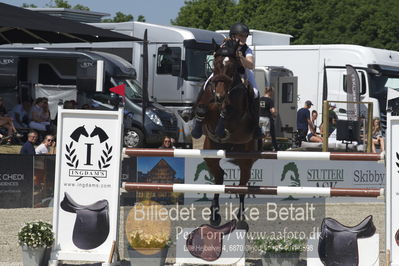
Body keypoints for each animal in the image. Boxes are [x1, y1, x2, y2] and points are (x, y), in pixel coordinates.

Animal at [191, 39, 260, 229]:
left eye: (232, 66)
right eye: (214, 64)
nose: (220, 95)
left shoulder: (235, 114)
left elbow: (226, 111)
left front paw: (221, 128)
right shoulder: (207, 104)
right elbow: (201, 109)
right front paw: (197, 129)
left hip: (246, 159)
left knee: (242, 184)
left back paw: (241, 219)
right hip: (210, 153)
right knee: (219, 178)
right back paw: (214, 216)